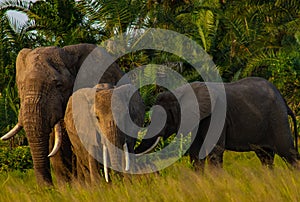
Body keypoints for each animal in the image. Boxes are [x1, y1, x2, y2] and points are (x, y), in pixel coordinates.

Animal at [135, 76, 298, 170]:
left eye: (163, 118)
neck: (181, 91)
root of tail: (283, 100)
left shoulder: (217, 115)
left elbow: (213, 152)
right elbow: (195, 153)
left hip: (277, 118)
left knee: (288, 152)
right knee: (265, 157)